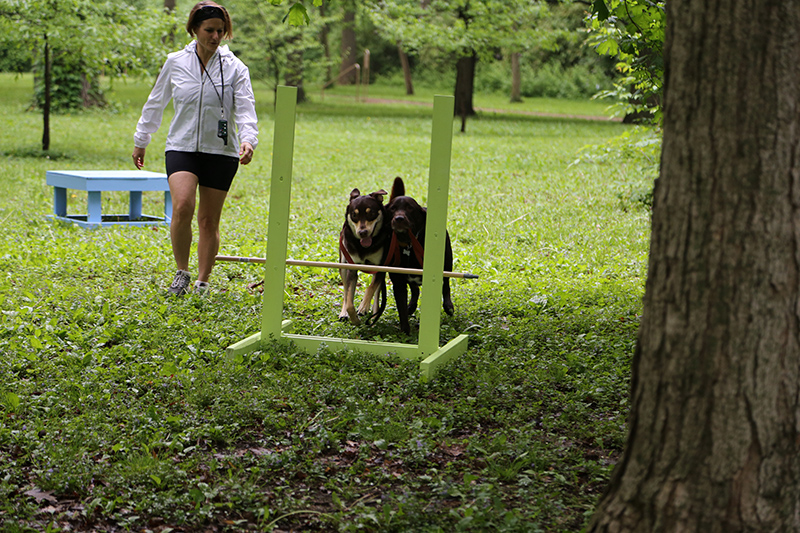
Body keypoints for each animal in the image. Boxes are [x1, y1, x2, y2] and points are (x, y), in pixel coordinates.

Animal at [336, 189, 390, 326]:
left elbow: (371, 289)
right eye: (354, 215)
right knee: (345, 291)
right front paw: (354, 319)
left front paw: (363, 307)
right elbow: (349, 301)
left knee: (377, 291)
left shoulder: (380, 267)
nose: (362, 232)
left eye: (371, 213)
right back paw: (343, 313)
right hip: (342, 266)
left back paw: (374, 314)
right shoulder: (352, 268)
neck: (364, 247)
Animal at [384, 177, 454, 330]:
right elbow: (402, 310)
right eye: (393, 208)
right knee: (415, 289)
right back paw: (411, 306)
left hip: (447, 262)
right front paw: (405, 331)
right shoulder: (399, 282)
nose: (399, 218)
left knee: (446, 284)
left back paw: (448, 306)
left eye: (410, 208)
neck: (408, 246)